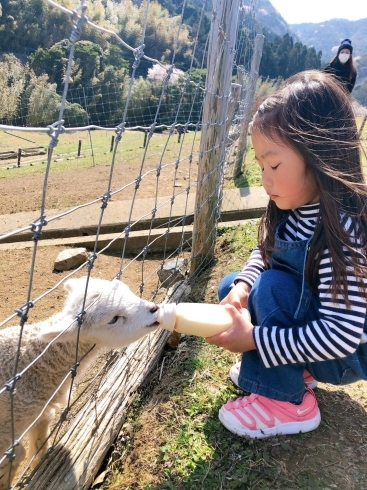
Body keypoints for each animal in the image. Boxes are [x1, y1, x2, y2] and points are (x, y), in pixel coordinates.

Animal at [0, 278, 161, 488]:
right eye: (113, 319)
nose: (156, 309)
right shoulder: (6, 433)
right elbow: (15, 458)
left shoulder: (39, 414)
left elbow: (38, 446)